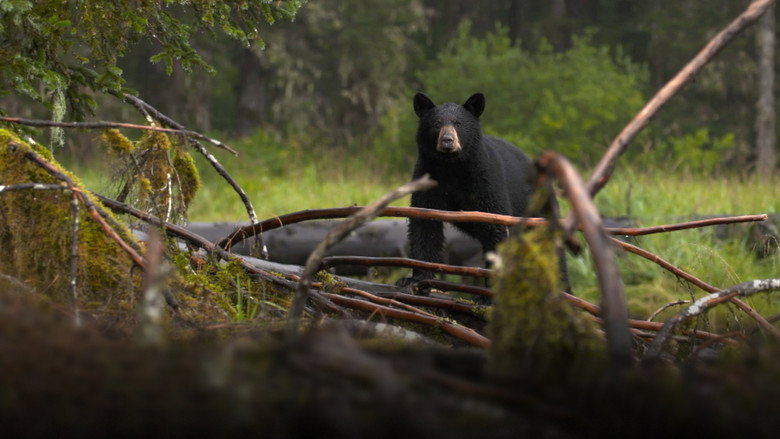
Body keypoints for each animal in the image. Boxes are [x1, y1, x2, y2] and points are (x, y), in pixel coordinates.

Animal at [397, 92, 567, 292]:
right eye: (437, 123)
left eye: (458, 123)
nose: (447, 140)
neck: (451, 167)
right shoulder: (428, 176)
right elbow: (425, 223)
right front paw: (414, 279)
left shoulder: (484, 180)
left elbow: (495, 225)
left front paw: (491, 288)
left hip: (536, 207)